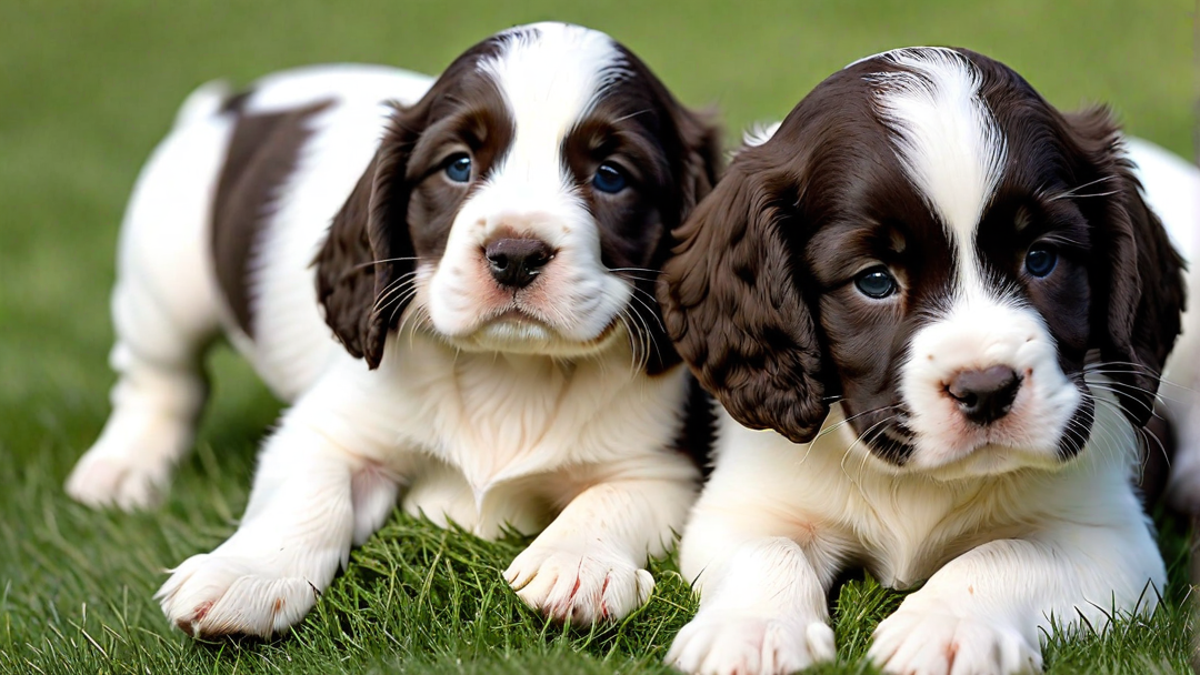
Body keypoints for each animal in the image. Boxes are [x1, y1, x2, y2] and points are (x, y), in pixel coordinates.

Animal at [68, 22, 720, 634]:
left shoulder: (661, 465)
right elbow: (310, 493)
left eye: (611, 176)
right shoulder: (329, 426)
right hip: (167, 280)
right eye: (458, 166)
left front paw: (578, 564)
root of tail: (233, 102)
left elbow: (610, 498)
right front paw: (245, 574)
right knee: (161, 378)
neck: (510, 368)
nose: (514, 255)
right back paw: (123, 466)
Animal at [662, 44, 1185, 667]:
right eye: (875, 280)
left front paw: (947, 626)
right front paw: (750, 630)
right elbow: (767, 548)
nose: (986, 389)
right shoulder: (743, 506)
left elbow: (1007, 552)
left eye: (1041, 258)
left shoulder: (1108, 538)